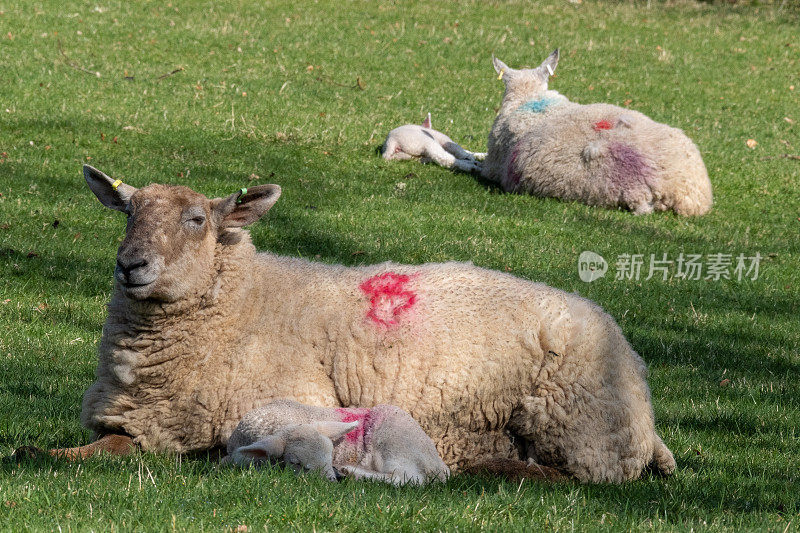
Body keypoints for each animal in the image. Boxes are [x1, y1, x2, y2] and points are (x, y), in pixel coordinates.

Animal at [225, 396, 450, 484]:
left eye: (330, 455)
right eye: (295, 463)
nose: (331, 482)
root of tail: (439, 465)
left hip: (395, 440)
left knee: (408, 477)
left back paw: (350, 471)